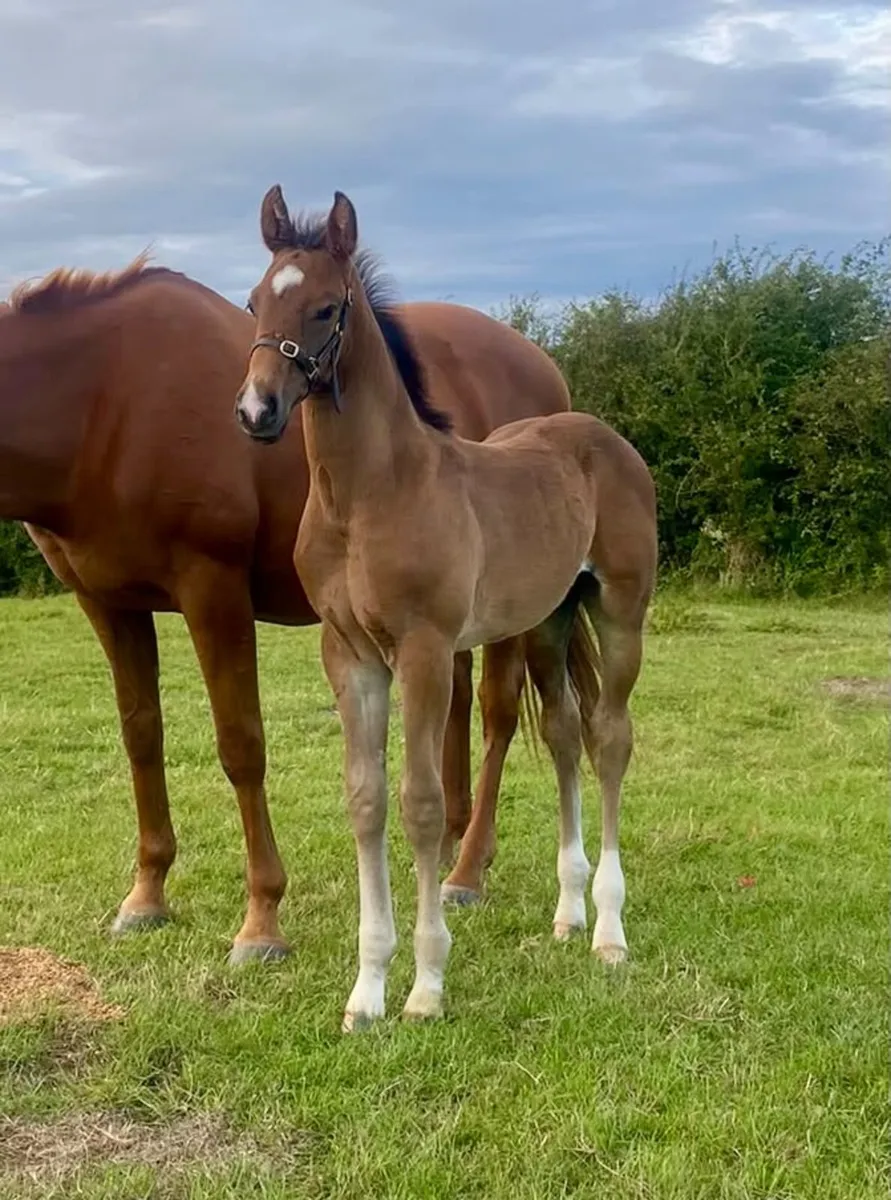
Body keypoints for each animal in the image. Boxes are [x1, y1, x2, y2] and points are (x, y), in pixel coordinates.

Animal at [0, 248, 571, 963]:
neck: (105, 398)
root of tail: (545, 369)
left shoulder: (212, 589)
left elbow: (241, 745)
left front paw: (261, 921)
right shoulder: (107, 604)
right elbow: (141, 737)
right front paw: (148, 894)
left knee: (497, 712)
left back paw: (467, 870)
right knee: (458, 705)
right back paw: (446, 846)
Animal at [235, 185, 658, 1029]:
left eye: (325, 309)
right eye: (255, 301)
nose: (256, 410)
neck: (369, 495)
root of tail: (601, 435)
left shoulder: (425, 650)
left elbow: (423, 803)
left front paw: (426, 986)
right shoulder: (349, 655)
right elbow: (366, 802)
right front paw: (365, 992)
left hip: (620, 611)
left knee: (609, 739)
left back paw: (609, 930)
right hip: (546, 619)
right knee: (564, 734)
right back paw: (568, 914)